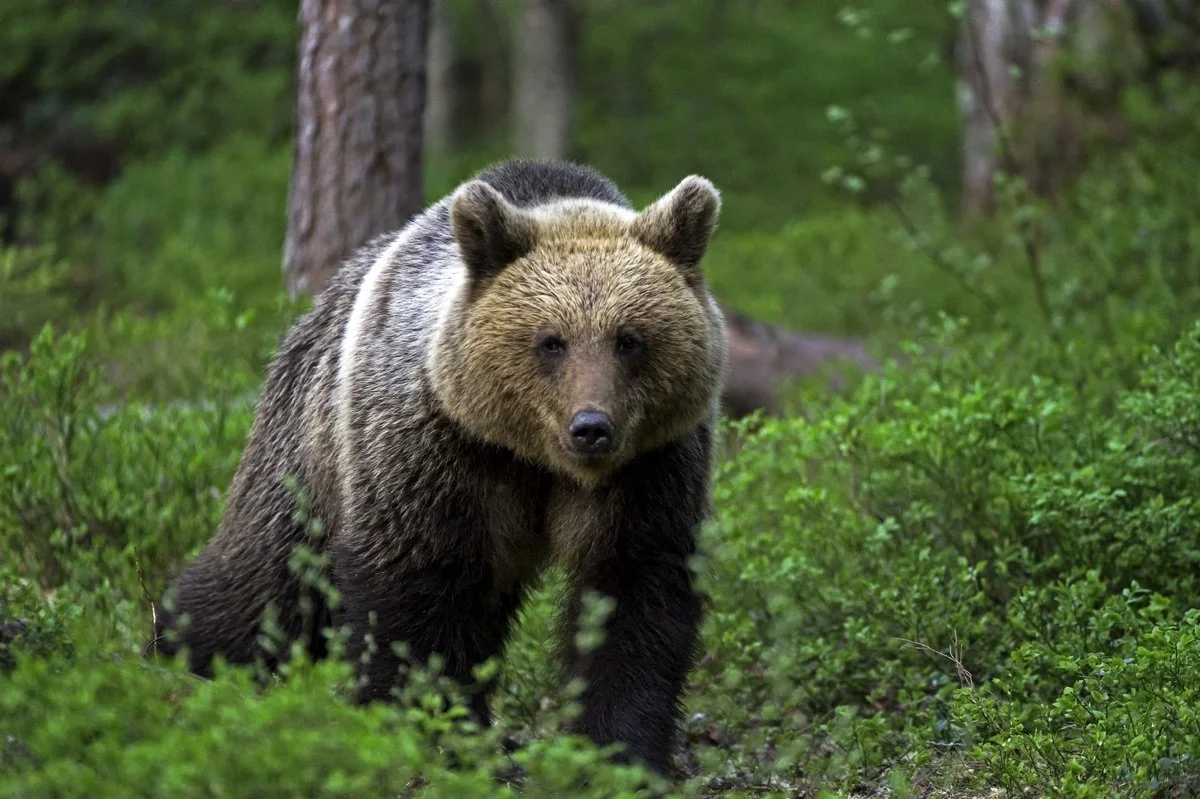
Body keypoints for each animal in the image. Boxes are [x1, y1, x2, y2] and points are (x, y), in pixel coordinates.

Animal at [150, 159, 728, 775]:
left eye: (629, 339)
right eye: (551, 341)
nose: (592, 427)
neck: (535, 458)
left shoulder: (650, 468)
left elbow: (633, 590)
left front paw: (619, 752)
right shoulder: (437, 448)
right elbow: (416, 586)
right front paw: (429, 727)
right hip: (306, 450)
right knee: (267, 578)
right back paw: (179, 650)